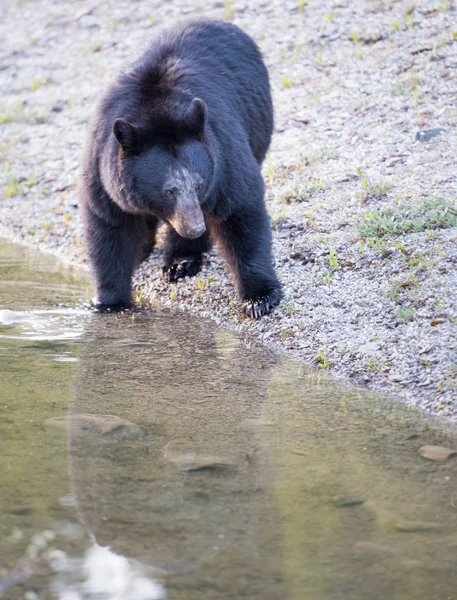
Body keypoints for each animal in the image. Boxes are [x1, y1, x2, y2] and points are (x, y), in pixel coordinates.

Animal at [80, 18, 282, 316]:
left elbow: (240, 210)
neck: (155, 110)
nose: (195, 227)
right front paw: (109, 301)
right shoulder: (103, 171)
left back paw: (180, 260)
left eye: (199, 184)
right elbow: (109, 226)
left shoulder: (222, 156)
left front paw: (259, 297)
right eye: (168, 191)